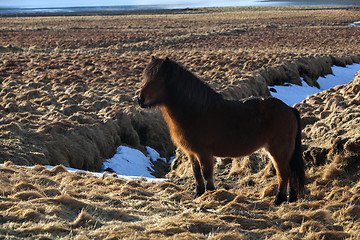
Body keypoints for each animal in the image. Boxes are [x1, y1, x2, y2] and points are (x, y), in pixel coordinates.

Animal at [138, 56, 304, 204]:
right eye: (145, 78)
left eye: (159, 80)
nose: (140, 100)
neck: (195, 112)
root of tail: (289, 109)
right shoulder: (191, 153)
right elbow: (196, 173)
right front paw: (199, 195)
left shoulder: (204, 152)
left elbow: (206, 173)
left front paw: (210, 194)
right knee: (289, 173)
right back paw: (290, 199)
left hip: (278, 150)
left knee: (283, 173)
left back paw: (279, 200)